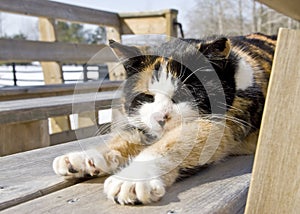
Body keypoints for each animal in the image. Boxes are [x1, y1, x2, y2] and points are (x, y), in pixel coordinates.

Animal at [52, 33, 276, 204]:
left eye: (185, 94)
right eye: (147, 97)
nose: (161, 117)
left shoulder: (225, 121)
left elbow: (174, 142)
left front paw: (133, 179)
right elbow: (126, 135)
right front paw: (83, 158)